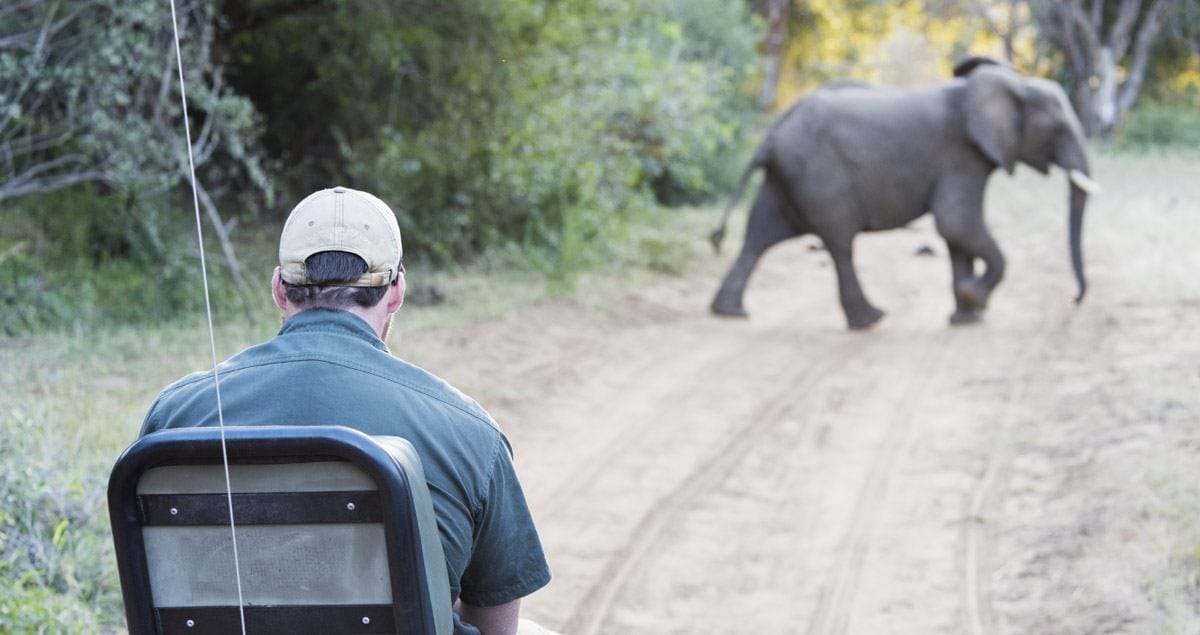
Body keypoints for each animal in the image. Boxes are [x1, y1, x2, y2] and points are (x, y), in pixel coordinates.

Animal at [705, 60, 1099, 328]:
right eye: (1057, 127)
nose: (1074, 299)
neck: (1012, 83)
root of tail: (771, 135)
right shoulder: (961, 156)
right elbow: (956, 222)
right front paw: (975, 300)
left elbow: (956, 234)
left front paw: (966, 316)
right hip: (818, 176)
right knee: (839, 242)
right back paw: (871, 320)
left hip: (785, 178)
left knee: (758, 236)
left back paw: (729, 312)